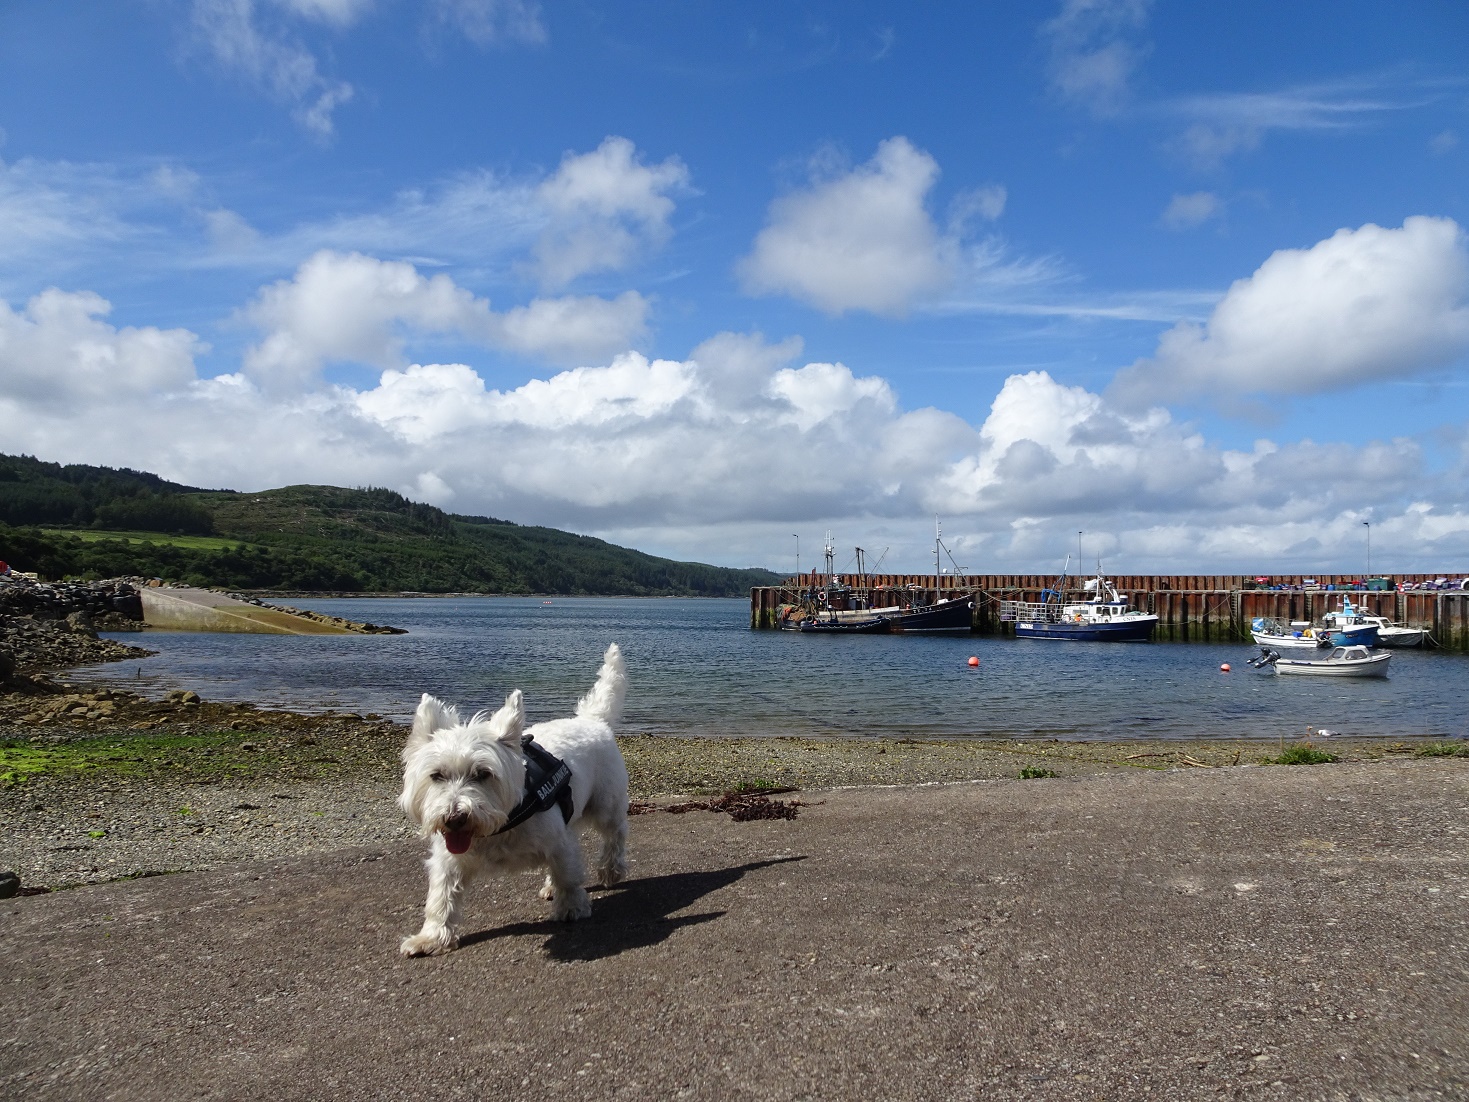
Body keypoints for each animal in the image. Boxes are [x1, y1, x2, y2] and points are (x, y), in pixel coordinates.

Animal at [399, 646, 628, 958]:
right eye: (436, 775)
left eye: (483, 774)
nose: (454, 818)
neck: (499, 826)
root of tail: (592, 719)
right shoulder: (449, 859)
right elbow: (440, 897)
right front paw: (431, 938)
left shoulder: (558, 840)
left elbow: (568, 874)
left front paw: (572, 907)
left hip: (606, 805)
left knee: (615, 835)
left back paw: (610, 870)